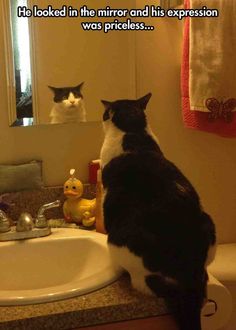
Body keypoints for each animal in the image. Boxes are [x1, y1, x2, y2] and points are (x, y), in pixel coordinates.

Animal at [99, 93, 216, 330]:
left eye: (106, 113)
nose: (102, 116)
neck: (133, 132)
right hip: (209, 224)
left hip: (118, 240)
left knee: (149, 285)